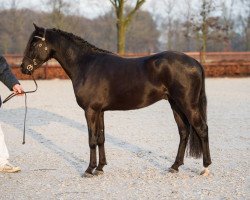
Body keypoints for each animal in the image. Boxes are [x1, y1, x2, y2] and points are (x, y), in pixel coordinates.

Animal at [21, 23, 211, 178]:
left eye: (34, 44)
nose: (24, 68)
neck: (86, 65)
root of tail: (195, 62)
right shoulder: (100, 111)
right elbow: (101, 138)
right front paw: (100, 168)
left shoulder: (90, 110)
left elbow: (91, 139)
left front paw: (89, 170)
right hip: (175, 105)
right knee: (184, 132)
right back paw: (174, 166)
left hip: (188, 105)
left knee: (202, 129)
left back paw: (206, 167)